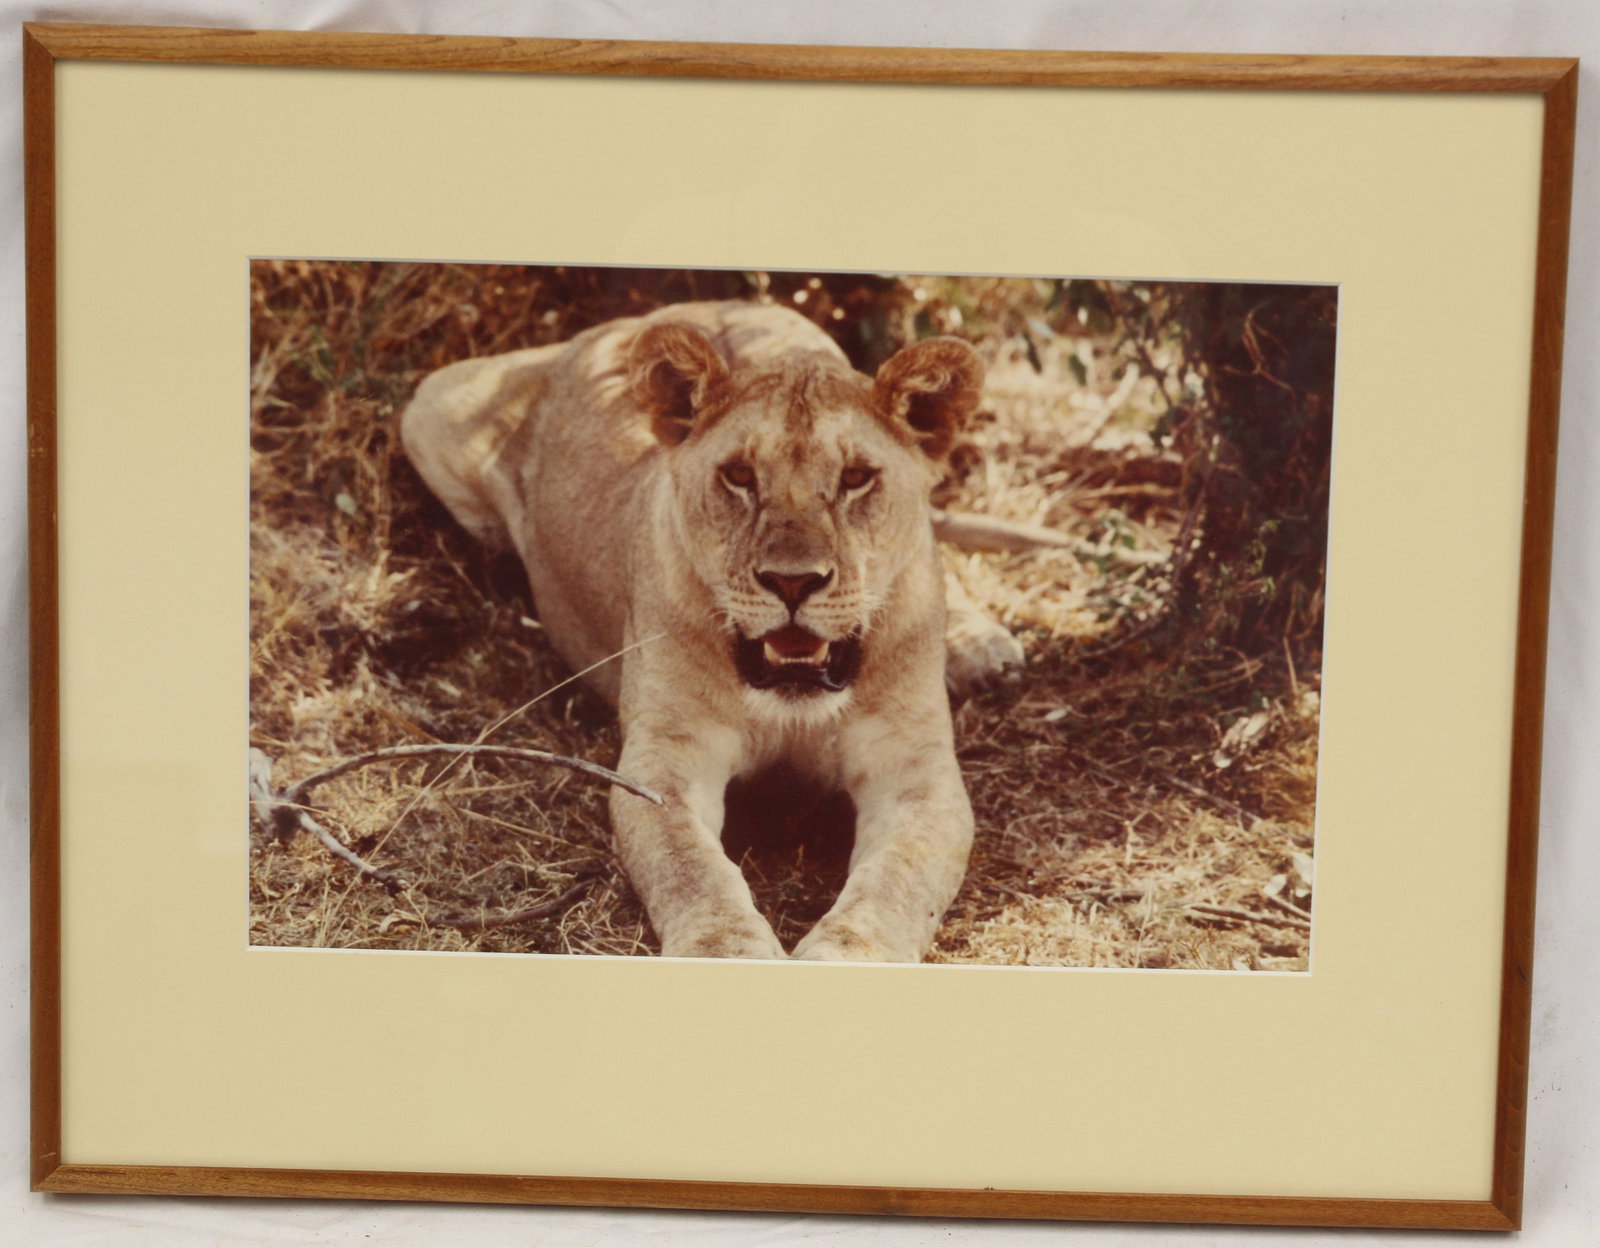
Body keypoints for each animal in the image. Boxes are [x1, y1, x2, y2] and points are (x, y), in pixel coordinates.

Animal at [401, 301, 1022, 961]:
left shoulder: (915, 771)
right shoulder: (665, 760)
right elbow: (690, 867)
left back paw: (979, 645)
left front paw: (844, 954)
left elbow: (898, 877)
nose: (792, 582)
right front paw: (728, 951)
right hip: (432, 407)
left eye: (856, 477)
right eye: (739, 475)